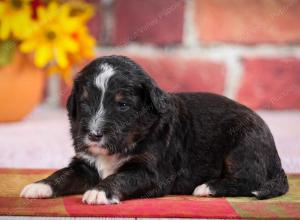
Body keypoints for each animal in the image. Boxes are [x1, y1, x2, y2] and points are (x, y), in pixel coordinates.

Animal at [19, 55, 288, 204]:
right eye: (84, 103)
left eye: (123, 105)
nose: (94, 135)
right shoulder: (85, 163)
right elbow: (63, 174)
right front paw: (40, 186)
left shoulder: (151, 171)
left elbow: (122, 176)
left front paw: (99, 192)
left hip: (243, 143)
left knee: (250, 179)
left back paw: (208, 187)